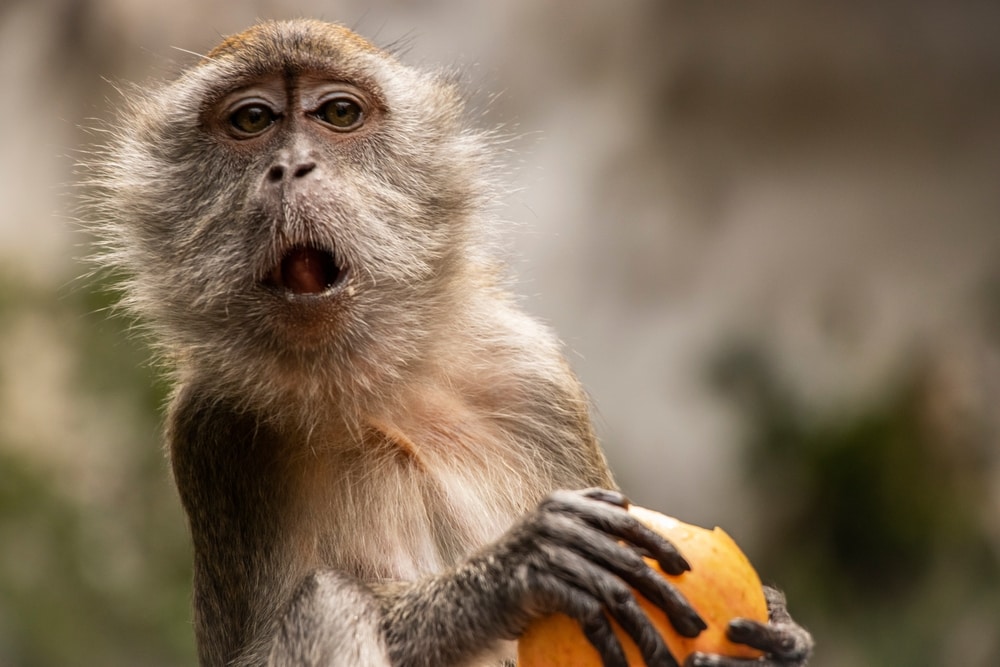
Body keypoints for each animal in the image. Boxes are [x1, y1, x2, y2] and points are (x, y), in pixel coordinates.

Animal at [84, 19, 813, 667]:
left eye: (339, 112)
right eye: (251, 121)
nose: (291, 167)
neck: (374, 390)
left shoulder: (533, 375)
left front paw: (778, 637)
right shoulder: (216, 435)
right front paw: (508, 573)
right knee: (326, 604)